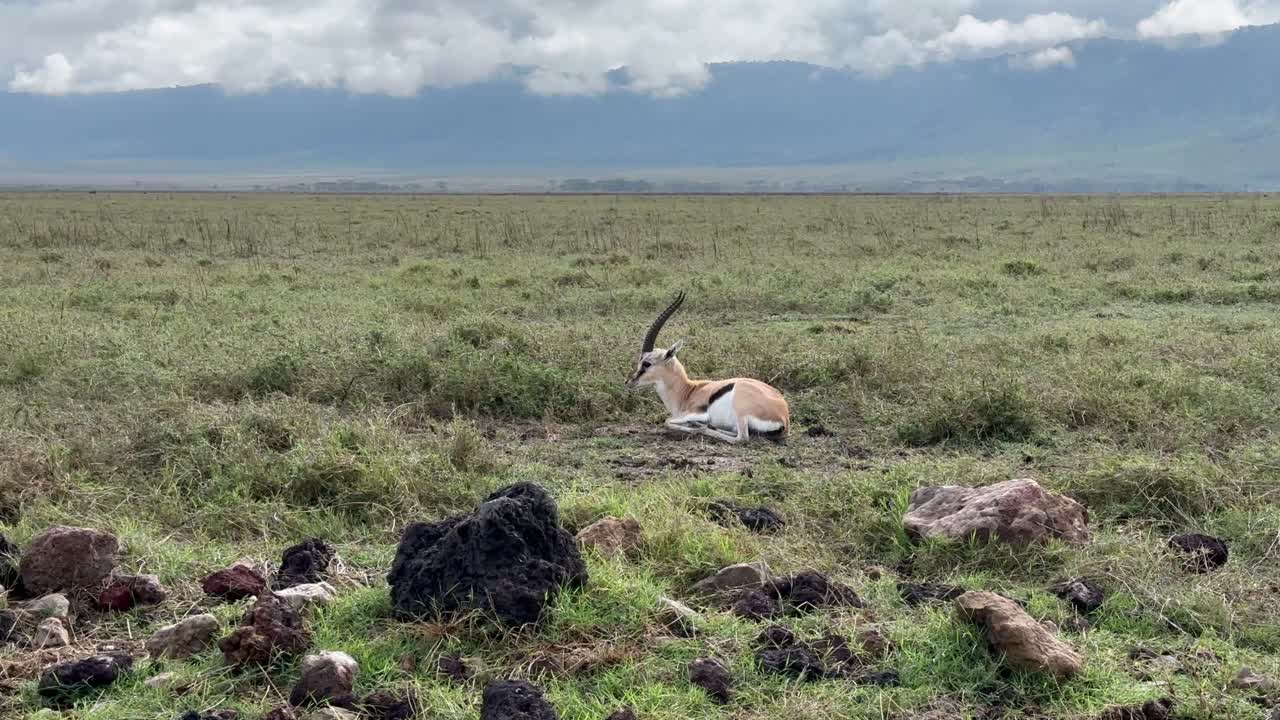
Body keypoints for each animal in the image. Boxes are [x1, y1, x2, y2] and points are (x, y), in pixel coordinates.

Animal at [625, 291, 790, 443]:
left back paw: (701, 427)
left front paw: (694, 426)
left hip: (740, 413)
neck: (687, 391)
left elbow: (667, 421)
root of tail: (784, 417)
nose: (629, 381)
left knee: (741, 438)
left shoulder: (698, 413)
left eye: (647, 363)